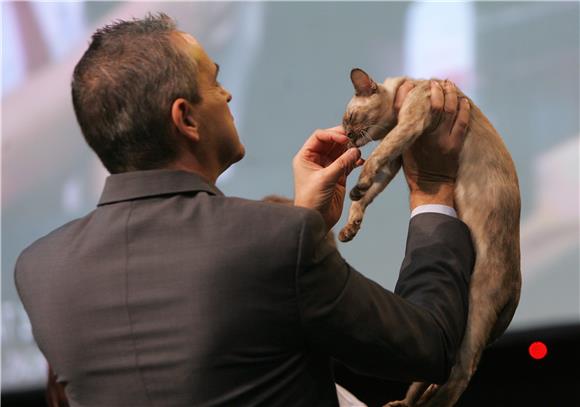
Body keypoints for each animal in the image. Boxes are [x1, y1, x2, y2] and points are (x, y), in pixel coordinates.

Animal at [336, 68, 520, 406]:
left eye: (350, 118)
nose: (348, 137)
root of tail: (517, 287)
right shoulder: (397, 160)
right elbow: (364, 196)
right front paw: (349, 227)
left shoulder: (409, 126)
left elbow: (375, 158)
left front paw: (358, 185)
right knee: (432, 371)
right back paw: (402, 404)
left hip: (476, 308)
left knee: (459, 371)